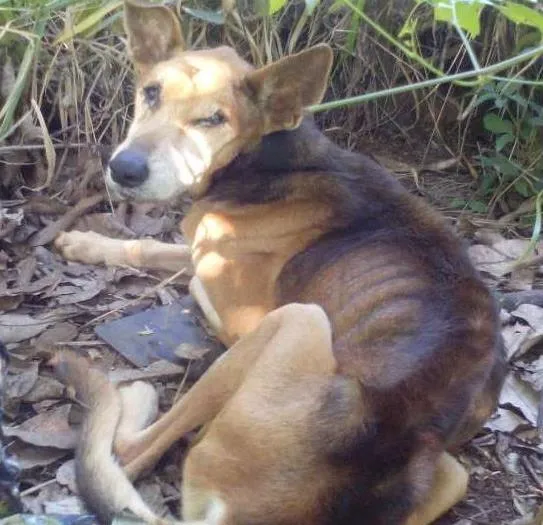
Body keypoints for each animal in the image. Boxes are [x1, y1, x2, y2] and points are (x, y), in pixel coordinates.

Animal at [51, 2, 506, 520]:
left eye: (214, 119)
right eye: (151, 93)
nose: (125, 170)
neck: (267, 156)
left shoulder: (236, 302)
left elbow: (181, 266)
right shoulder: (205, 247)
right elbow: (152, 246)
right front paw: (84, 243)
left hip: (296, 322)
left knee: (133, 451)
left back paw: (139, 396)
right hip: (452, 473)